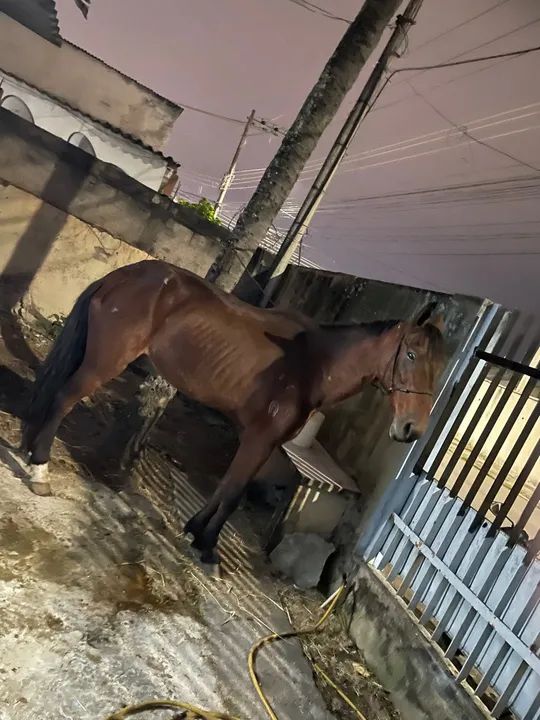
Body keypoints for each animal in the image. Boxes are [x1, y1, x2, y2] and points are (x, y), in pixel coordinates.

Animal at [22, 259, 446, 565]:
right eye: (411, 354)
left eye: (440, 366)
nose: (411, 429)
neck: (309, 364)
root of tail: (124, 274)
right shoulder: (260, 439)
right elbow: (233, 494)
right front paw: (208, 545)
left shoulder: (256, 441)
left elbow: (226, 486)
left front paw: (194, 531)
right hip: (104, 362)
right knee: (63, 399)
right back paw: (39, 470)